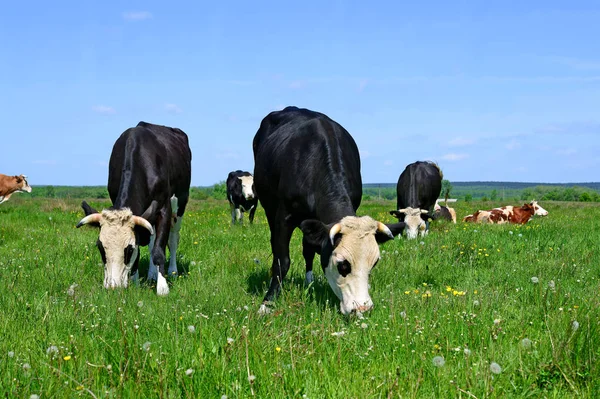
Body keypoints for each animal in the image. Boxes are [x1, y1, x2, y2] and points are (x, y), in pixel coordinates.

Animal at [76, 120, 191, 296]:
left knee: (172, 239)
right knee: (151, 240)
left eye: (129, 250)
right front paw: (135, 282)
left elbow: (159, 250)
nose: (113, 287)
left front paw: (162, 288)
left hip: (180, 206)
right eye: (101, 248)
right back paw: (151, 274)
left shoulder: (164, 207)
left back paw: (172, 271)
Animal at [251, 108, 406, 318]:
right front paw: (268, 302)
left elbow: (308, 249)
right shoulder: (284, 216)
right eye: (343, 265)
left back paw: (308, 281)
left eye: (374, 263)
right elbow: (282, 260)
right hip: (269, 206)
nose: (362, 307)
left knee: (307, 249)